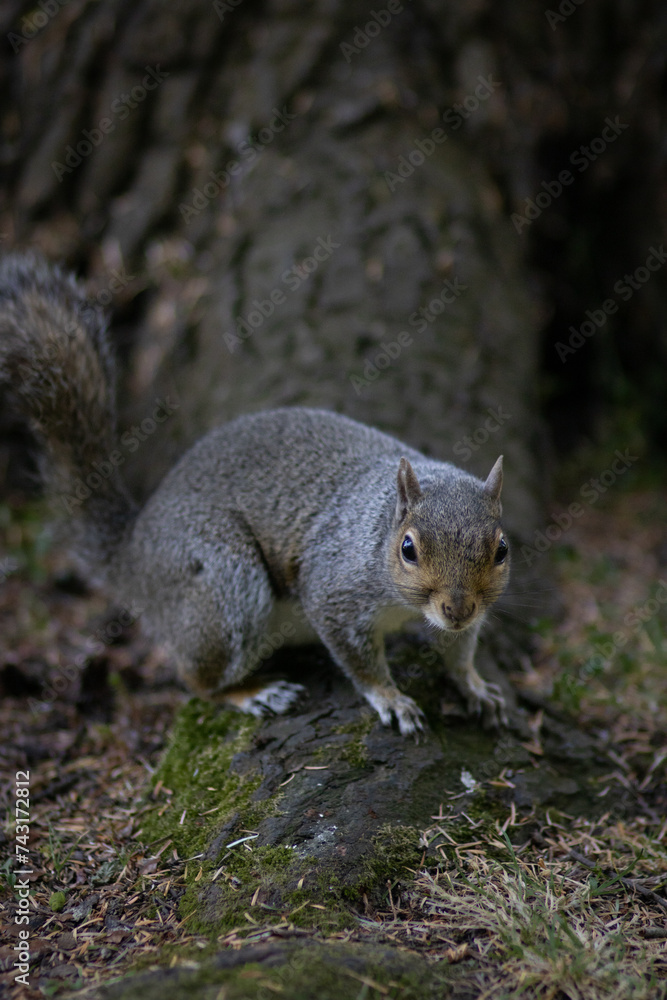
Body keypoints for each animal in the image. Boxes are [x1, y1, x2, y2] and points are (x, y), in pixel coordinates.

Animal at [0, 251, 511, 736]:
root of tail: (133, 560)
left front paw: (475, 686)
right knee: (197, 679)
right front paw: (392, 699)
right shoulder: (334, 591)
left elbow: (458, 649)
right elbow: (359, 661)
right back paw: (254, 693)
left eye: (502, 549)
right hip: (225, 585)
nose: (457, 608)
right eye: (408, 549)